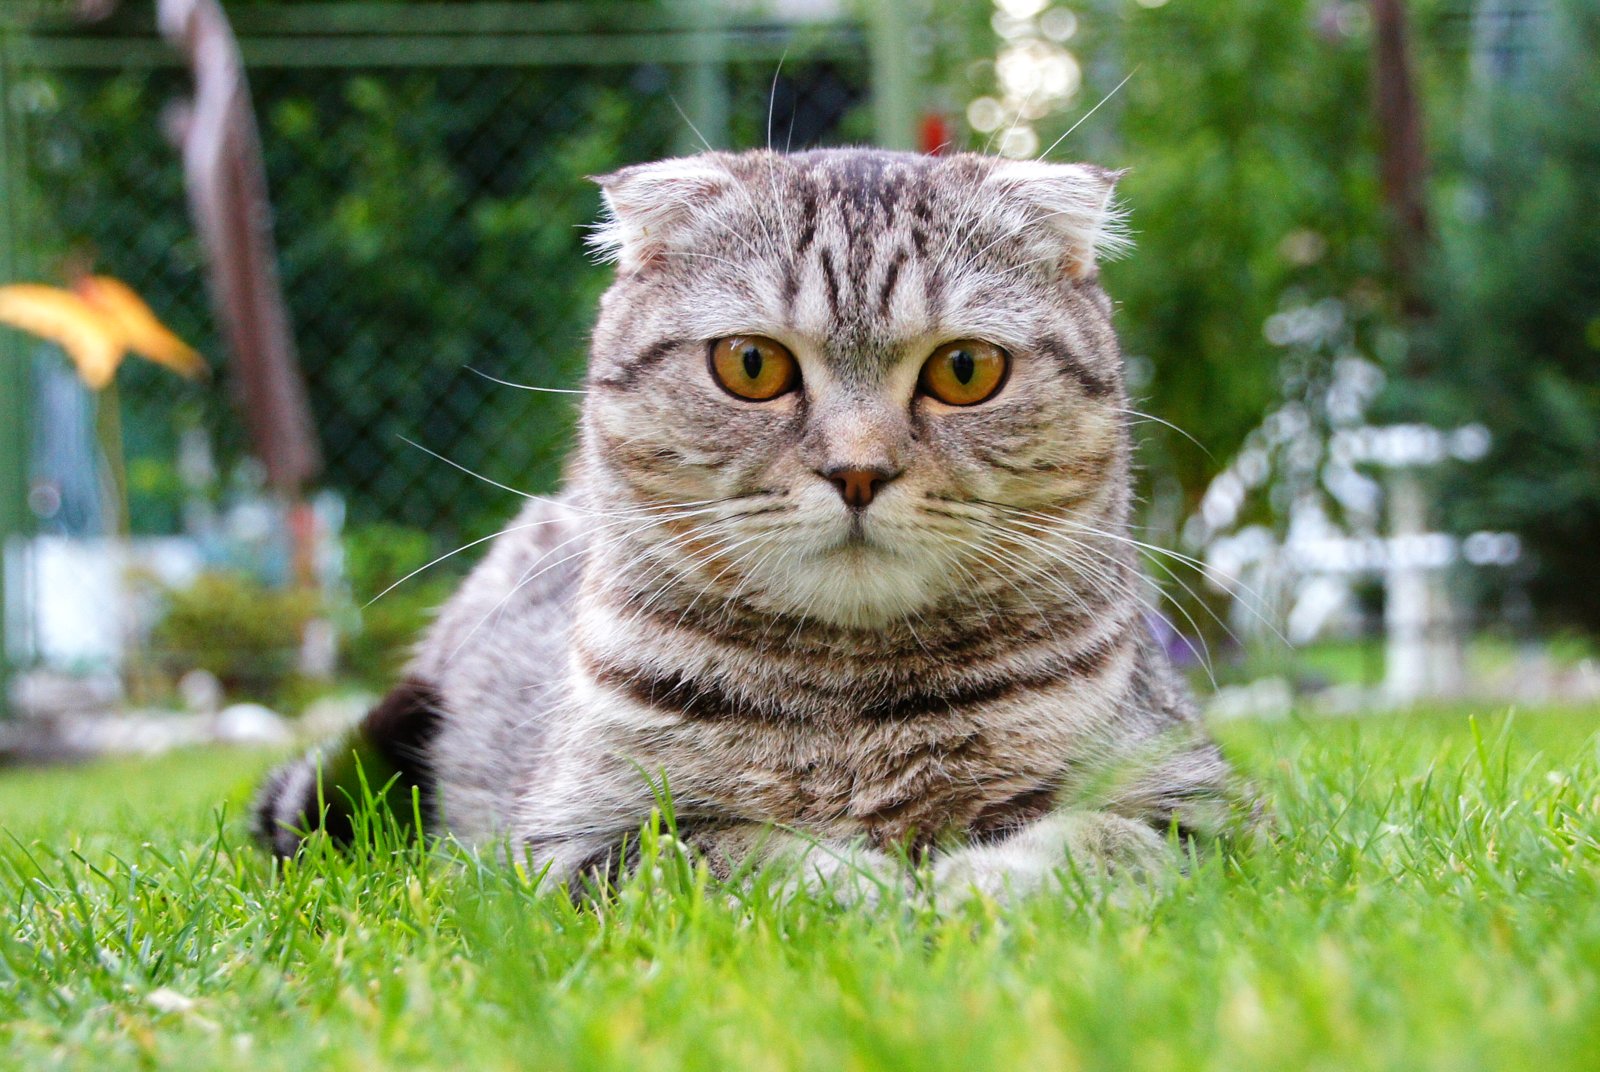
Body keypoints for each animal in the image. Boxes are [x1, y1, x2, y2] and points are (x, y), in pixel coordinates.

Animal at [252, 148, 1248, 908]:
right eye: (752, 365)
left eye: (966, 369)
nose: (857, 470)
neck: (855, 711)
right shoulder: (572, 844)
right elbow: (723, 853)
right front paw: (864, 884)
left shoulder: (1211, 811)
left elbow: (1105, 842)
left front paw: (979, 880)